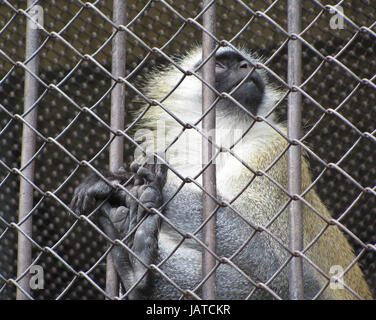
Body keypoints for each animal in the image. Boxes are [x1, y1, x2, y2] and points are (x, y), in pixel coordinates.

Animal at [71, 45, 374, 300]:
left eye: (245, 63)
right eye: (220, 64)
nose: (245, 66)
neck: (222, 139)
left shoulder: (270, 151)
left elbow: (277, 267)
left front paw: (125, 183)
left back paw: (137, 267)